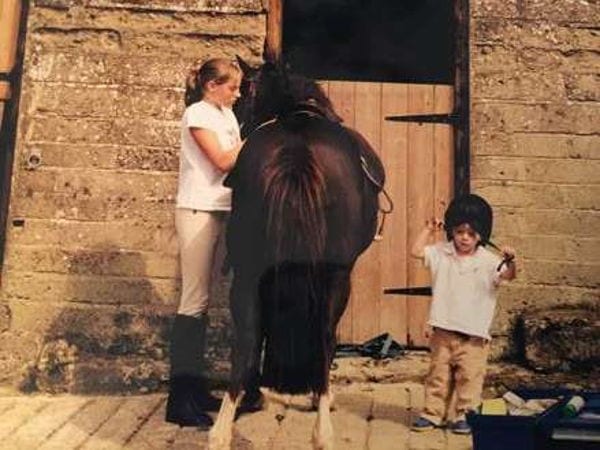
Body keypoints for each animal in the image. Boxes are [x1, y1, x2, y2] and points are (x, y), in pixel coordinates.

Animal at [209, 59, 386, 450]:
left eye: (240, 96)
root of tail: (296, 151)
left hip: (249, 272)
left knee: (245, 339)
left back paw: (221, 430)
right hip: (335, 276)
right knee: (324, 336)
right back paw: (322, 428)